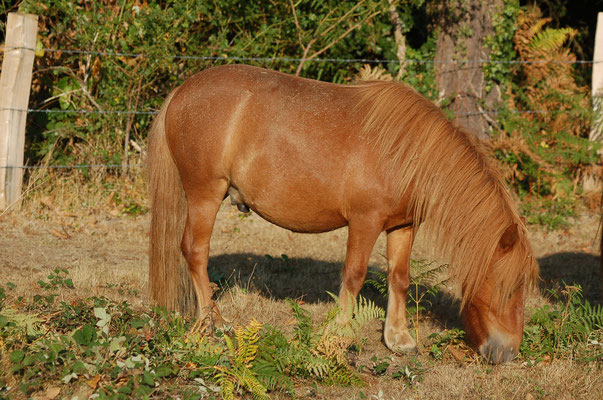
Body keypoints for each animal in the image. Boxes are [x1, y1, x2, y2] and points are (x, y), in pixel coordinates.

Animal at [149, 64, 540, 364]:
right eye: (506, 288)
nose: (507, 353)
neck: (407, 151)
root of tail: (182, 91)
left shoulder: (403, 226)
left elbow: (400, 277)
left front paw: (399, 339)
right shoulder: (365, 222)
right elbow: (354, 276)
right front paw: (338, 336)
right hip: (205, 194)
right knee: (195, 253)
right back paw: (212, 324)